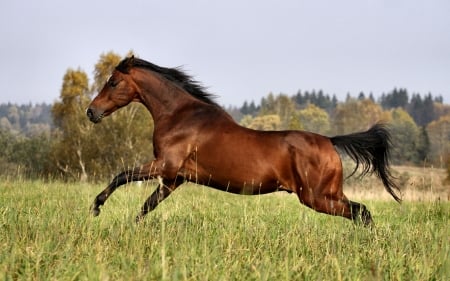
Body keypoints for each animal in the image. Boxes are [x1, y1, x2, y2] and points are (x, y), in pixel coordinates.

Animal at [85, 55, 400, 225]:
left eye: (113, 82)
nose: (91, 112)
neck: (180, 115)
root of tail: (330, 141)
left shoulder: (165, 166)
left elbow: (122, 175)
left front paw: (96, 207)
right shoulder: (175, 178)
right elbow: (146, 206)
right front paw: (131, 227)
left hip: (317, 197)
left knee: (361, 212)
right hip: (329, 194)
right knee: (362, 211)